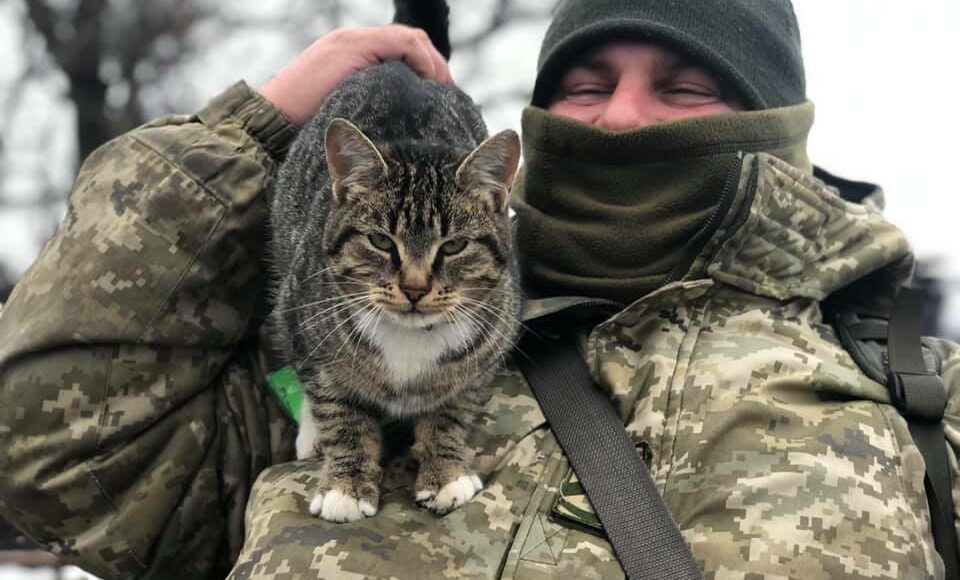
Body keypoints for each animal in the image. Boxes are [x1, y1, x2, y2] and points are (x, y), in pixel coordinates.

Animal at [266, 0, 520, 524]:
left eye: (453, 247)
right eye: (382, 242)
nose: (415, 287)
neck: (409, 339)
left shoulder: (485, 357)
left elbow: (451, 413)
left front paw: (445, 473)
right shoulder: (305, 325)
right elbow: (339, 412)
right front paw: (345, 485)